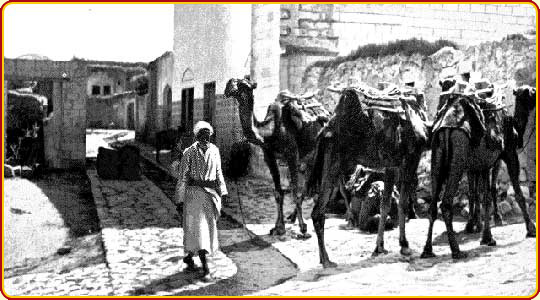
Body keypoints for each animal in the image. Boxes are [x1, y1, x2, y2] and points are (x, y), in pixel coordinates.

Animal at [225, 77, 330, 237]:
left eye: (243, 84)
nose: (228, 86)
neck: (269, 132)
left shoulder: (292, 154)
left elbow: (294, 191)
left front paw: (303, 228)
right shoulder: (269, 157)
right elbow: (278, 193)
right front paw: (278, 227)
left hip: (315, 150)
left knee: (308, 182)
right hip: (308, 155)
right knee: (307, 181)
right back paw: (291, 217)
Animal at [306, 86, 428, 268]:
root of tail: (325, 131)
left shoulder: (391, 165)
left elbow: (385, 205)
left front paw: (379, 247)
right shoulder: (412, 157)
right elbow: (402, 203)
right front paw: (404, 246)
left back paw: (323, 258)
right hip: (334, 161)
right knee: (318, 212)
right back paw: (327, 260)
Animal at [422, 85, 536, 260]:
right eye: (531, 92)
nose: (535, 92)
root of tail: (446, 128)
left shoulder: (482, 164)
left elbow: (485, 196)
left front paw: (487, 237)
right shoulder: (508, 153)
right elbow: (517, 194)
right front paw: (531, 229)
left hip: (437, 158)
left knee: (433, 205)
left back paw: (427, 250)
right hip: (458, 156)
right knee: (446, 203)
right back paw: (456, 250)